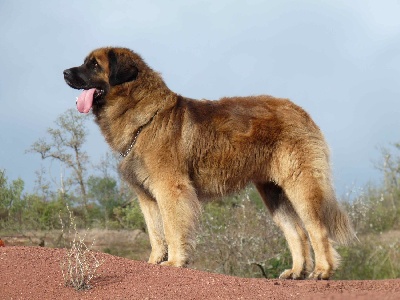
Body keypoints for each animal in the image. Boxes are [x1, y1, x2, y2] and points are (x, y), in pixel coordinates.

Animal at [62, 47, 354, 278]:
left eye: (94, 65)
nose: (64, 72)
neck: (145, 117)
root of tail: (300, 111)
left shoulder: (170, 189)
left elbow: (172, 228)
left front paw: (174, 262)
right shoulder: (146, 196)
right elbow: (155, 233)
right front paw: (154, 262)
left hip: (301, 184)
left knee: (316, 228)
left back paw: (322, 271)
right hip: (273, 193)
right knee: (297, 232)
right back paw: (296, 272)